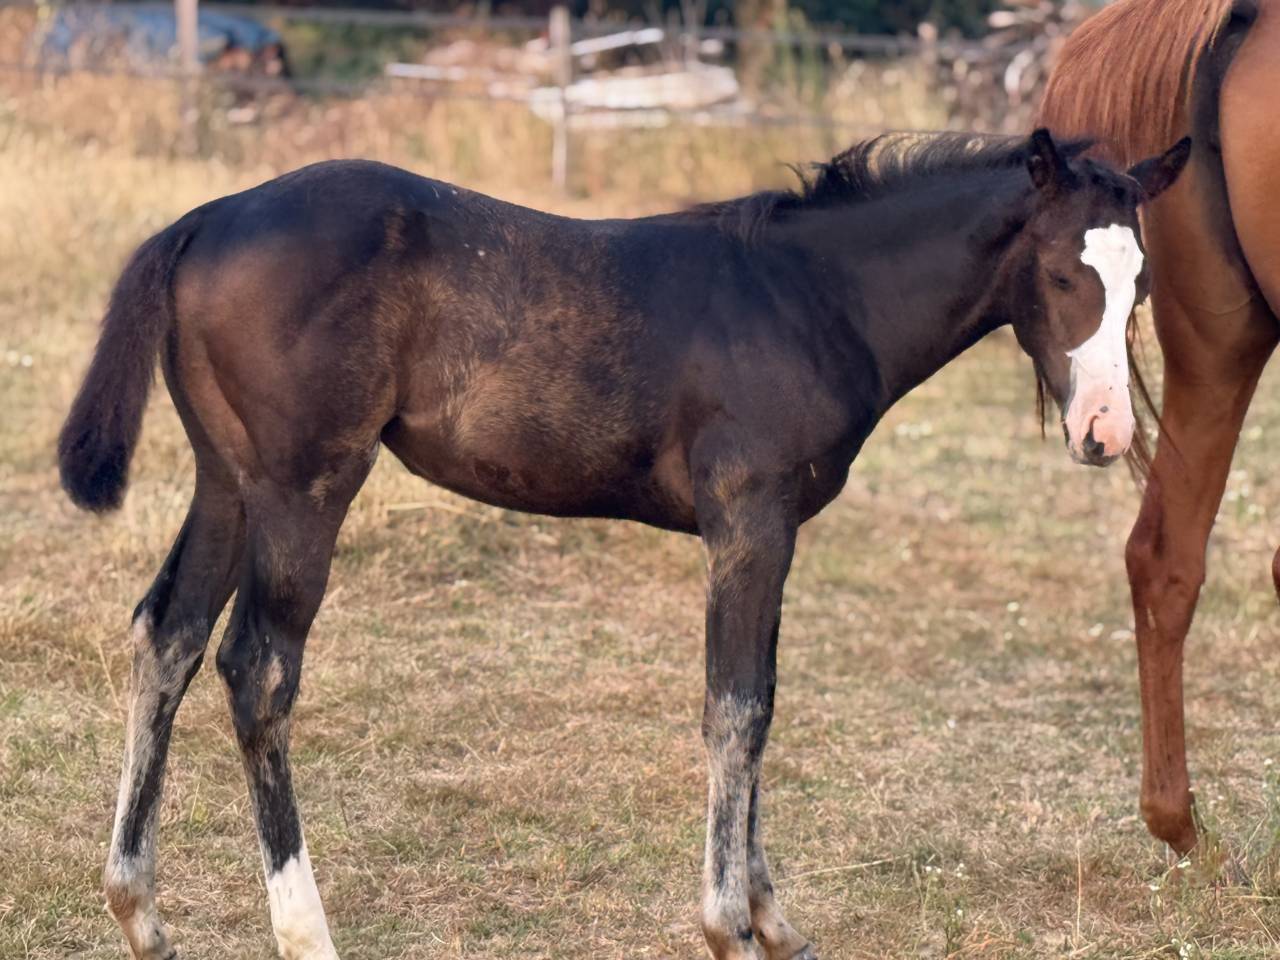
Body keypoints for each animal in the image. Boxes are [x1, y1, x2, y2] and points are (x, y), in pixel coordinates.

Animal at [57, 129, 1188, 960]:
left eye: (1141, 285)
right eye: (1058, 273)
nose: (1104, 433)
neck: (812, 297)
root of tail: (202, 221)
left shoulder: (769, 531)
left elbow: (758, 701)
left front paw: (773, 920)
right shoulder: (748, 522)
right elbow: (736, 709)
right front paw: (729, 926)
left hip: (229, 482)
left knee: (167, 637)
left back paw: (138, 909)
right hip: (304, 486)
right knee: (257, 666)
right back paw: (304, 932)